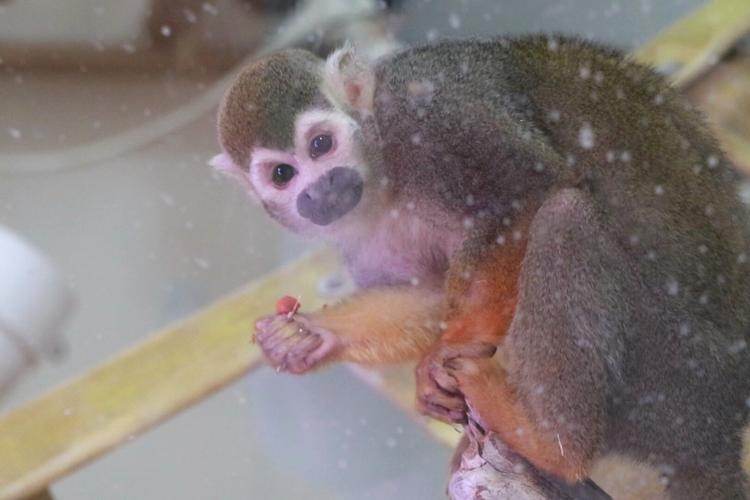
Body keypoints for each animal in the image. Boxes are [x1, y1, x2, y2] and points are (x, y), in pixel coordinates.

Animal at [210, 35, 750, 499]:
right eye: (283, 174)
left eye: (321, 145)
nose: (319, 190)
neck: (382, 167)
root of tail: (721, 427)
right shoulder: (358, 232)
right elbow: (428, 293)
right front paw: (311, 336)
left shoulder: (430, 115)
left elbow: (526, 195)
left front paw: (444, 352)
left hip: (677, 374)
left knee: (564, 216)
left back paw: (550, 441)